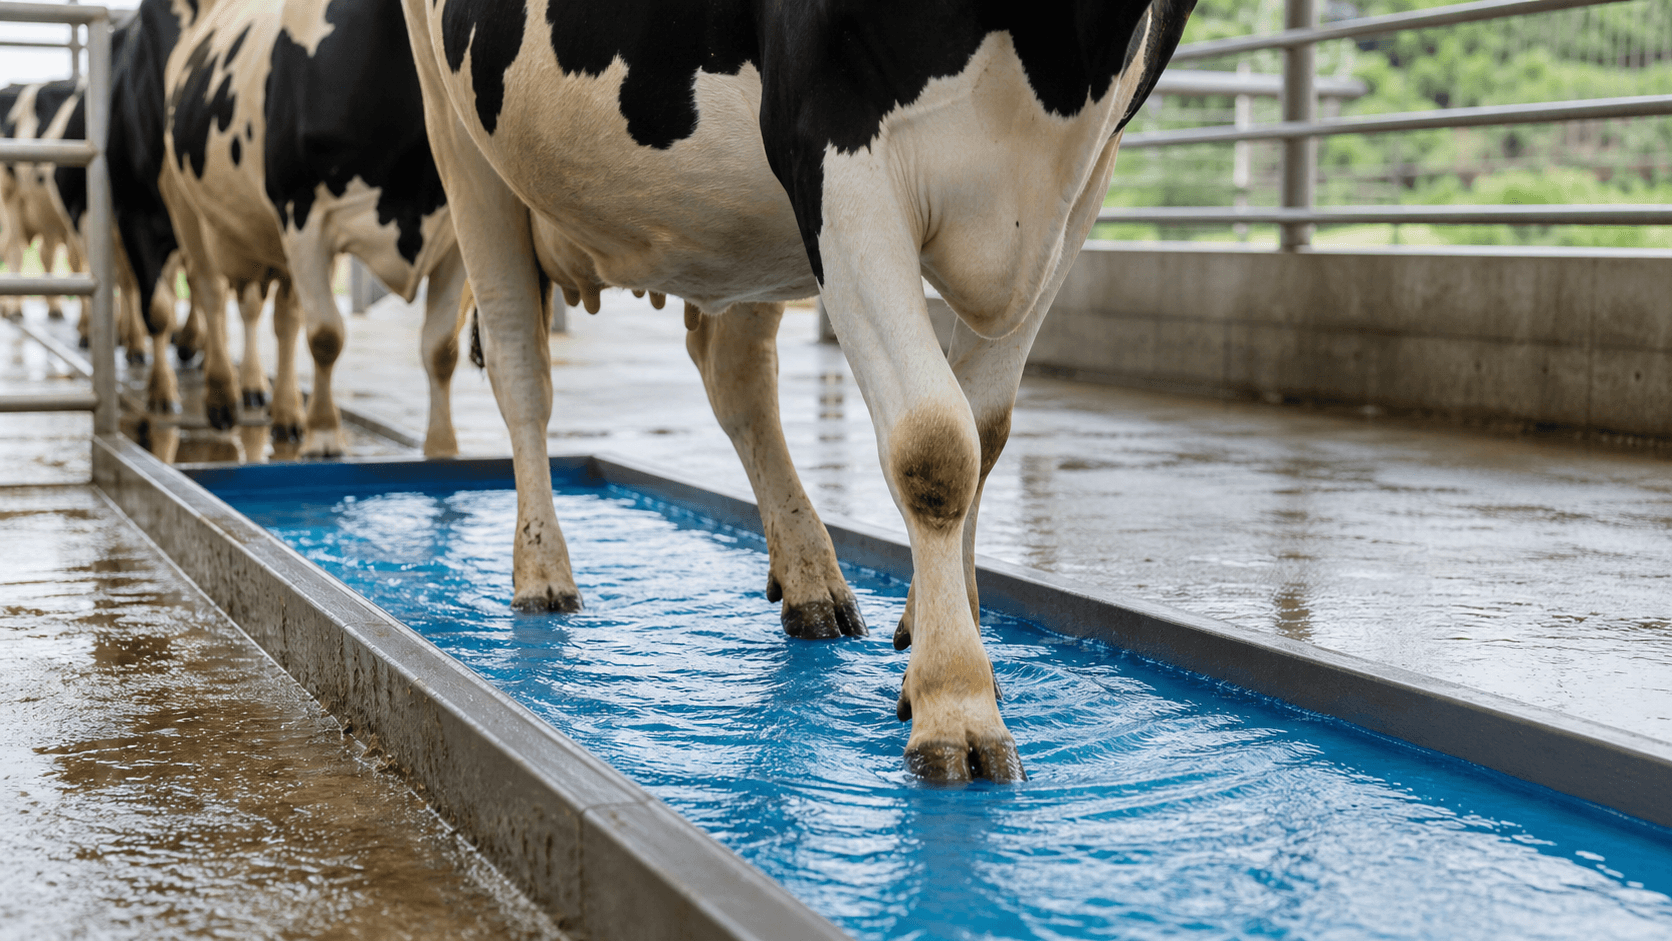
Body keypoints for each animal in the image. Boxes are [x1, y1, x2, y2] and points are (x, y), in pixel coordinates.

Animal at [160, 0, 465, 457]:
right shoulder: (303, 216)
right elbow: (325, 335)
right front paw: (323, 434)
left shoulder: (456, 235)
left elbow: (442, 347)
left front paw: (442, 447)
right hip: (186, 205)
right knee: (209, 290)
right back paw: (222, 397)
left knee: (282, 317)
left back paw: (286, 412)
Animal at [402, 0, 1195, 782]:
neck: (1059, 55)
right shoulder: (832, 141)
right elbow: (935, 445)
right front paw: (957, 706)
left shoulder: (1082, 183)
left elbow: (985, 431)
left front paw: (941, 644)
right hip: (461, 139)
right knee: (519, 363)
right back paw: (542, 572)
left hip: (736, 230)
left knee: (737, 375)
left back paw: (813, 581)